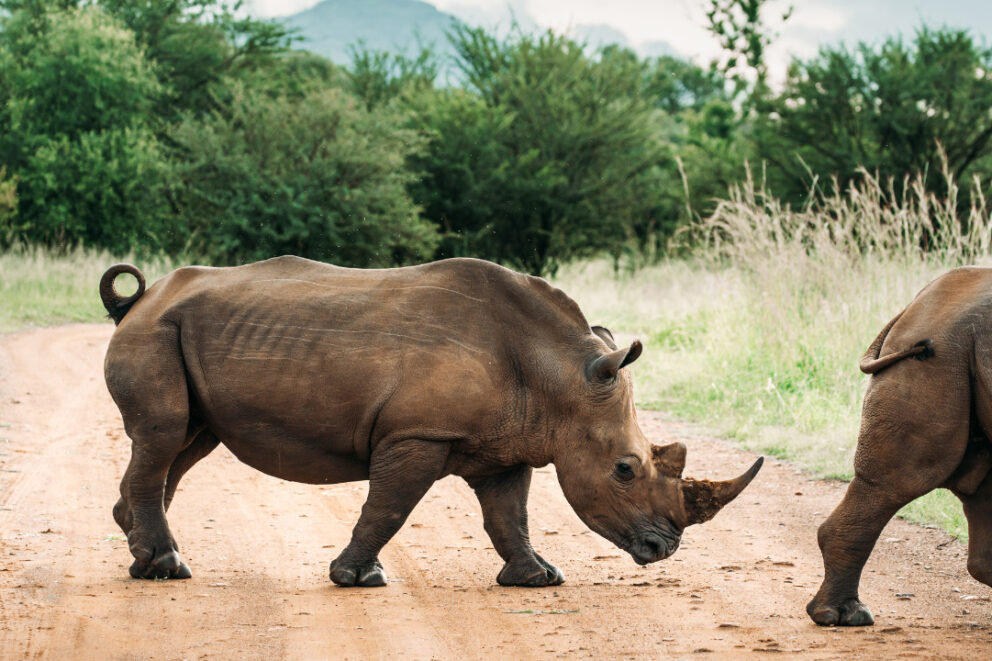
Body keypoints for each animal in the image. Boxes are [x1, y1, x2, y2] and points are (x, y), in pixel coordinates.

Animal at [101, 256, 762, 586]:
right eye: (625, 469)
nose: (663, 549)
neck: (560, 376)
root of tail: (138, 300)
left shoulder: (509, 444)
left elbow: (509, 514)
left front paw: (539, 579)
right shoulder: (416, 434)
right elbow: (390, 506)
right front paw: (357, 578)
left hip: (178, 335)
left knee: (186, 445)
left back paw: (143, 557)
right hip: (155, 333)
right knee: (164, 436)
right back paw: (167, 568)